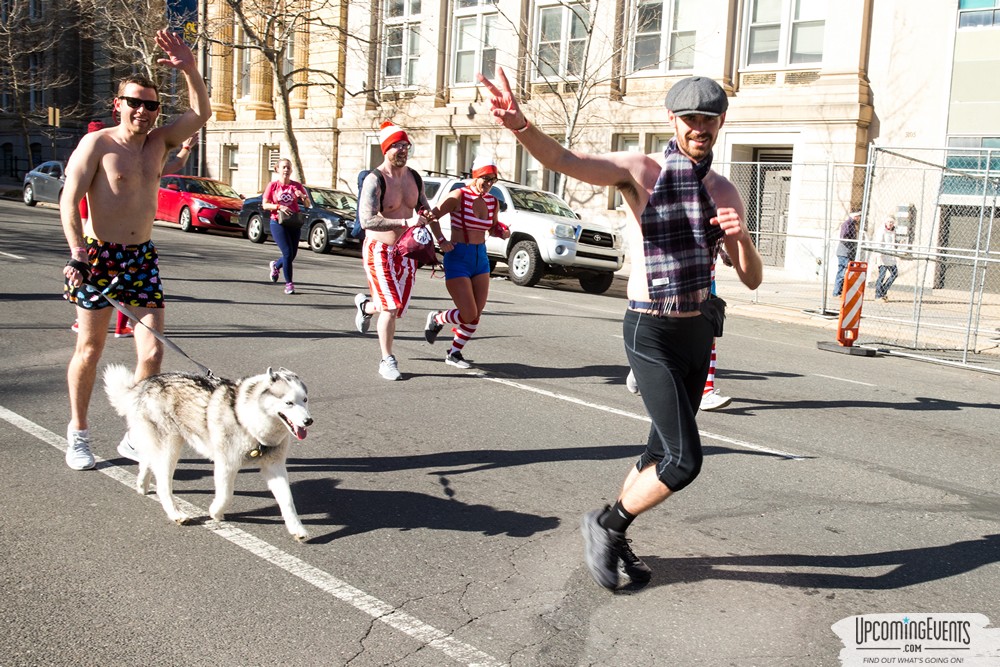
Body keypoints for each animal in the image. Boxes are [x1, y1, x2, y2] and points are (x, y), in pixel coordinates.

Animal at [103, 366, 310, 544]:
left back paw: (142, 484)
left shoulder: (274, 466)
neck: (247, 419)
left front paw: (297, 529)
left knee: (148, 460)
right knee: (163, 485)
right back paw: (176, 513)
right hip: (170, 447)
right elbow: (226, 495)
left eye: (305, 400)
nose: (309, 421)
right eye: (289, 403)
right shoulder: (226, 464)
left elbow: (287, 500)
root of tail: (145, 384)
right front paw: (216, 512)